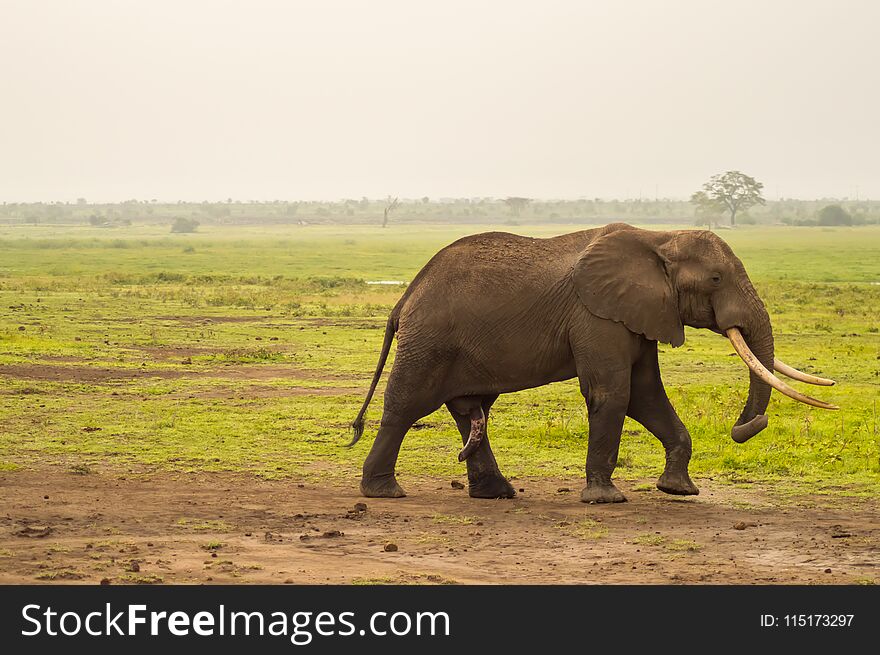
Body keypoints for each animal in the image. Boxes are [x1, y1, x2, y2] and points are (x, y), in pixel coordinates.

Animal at [348, 223, 836, 504]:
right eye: (716, 279)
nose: (745, 427)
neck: (659, 238)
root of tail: (406, 294)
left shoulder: (637, 314)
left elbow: (645, 396)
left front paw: (678, 490)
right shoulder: (596, 314)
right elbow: (613, 392)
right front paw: (605, 499)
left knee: (470, 410)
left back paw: (497, 495)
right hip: (429, 340)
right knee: (406, 406)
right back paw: (384, 492)